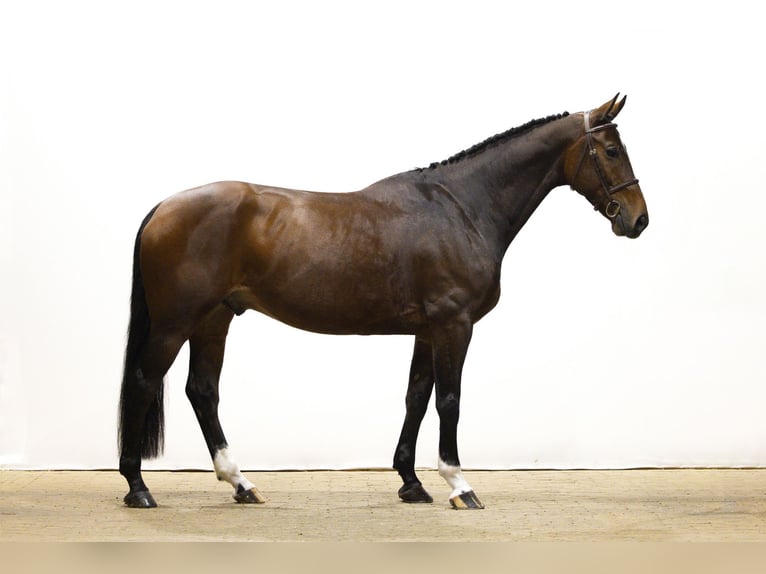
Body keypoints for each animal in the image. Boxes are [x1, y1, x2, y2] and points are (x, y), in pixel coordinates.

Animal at [118, 94, 648, 510]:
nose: (638, 219)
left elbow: (417, 396)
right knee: (144, 382)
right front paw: (460, 484)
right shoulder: (454, 324)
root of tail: (164, 207)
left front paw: (411, 483)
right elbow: (449, 400)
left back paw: (241, 483)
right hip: (175, 323)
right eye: (610, 150)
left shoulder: (427, 330)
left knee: (202, 391)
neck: (462, 208)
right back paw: (139, 487)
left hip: (215, 318)